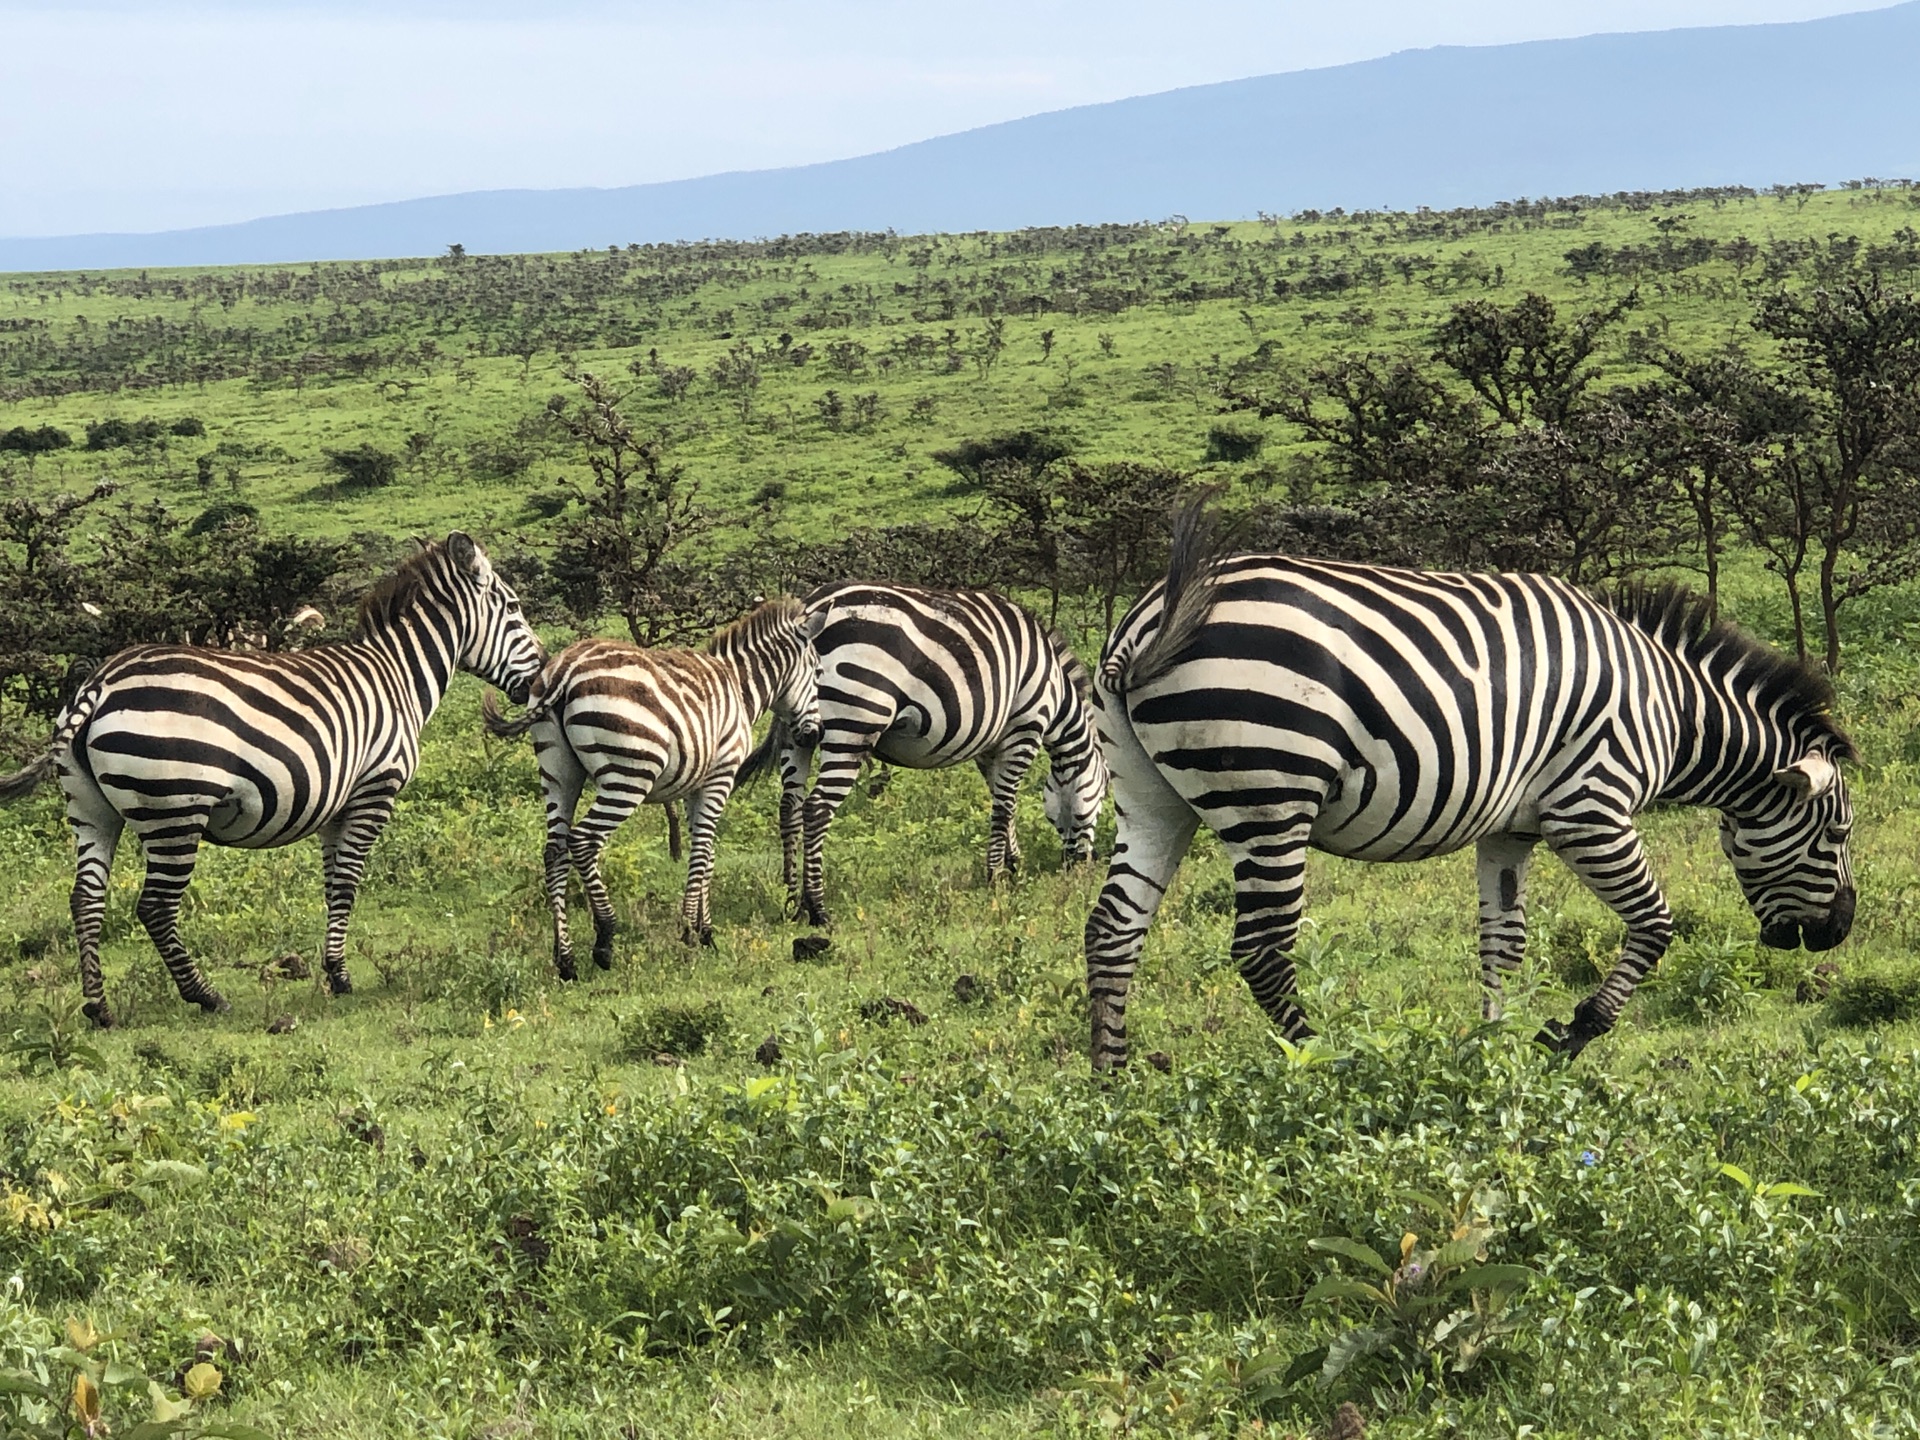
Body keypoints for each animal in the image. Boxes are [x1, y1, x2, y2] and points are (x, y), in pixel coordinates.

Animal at [0, 537, 545, 1029]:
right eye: (515, 608)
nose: (541, 678)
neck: (399, 676)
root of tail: (100, 684)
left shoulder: (337, 806)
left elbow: (333, 885)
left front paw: (332, 969)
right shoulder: (375, 788)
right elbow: (349, 883)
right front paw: (341, 977)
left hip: (90, 808)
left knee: (86, 899)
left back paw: (100, 1008)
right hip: (174, 810)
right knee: (155, 906)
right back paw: (205, 996)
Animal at [483, 599, 821, 983]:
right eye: (817, 673)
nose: (814, 735)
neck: (739, 686)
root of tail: (565, 670)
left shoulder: (695, 786)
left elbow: (706, 854)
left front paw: (705, 932)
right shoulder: (720, 775)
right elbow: (702, 852)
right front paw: (689, 932)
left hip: (558, 772)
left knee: (554, 850)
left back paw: (565, 961)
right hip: (629, 774)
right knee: (583, 841)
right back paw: (605, 939)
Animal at [771, 583, 1113, 925]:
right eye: (1103, 796)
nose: (1082, 864)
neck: (1056, 691)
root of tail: (813, 604)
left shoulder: (990, 745)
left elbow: (1003, 799)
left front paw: (1012, 862)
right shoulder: (1025, 728)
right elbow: (1004, 805)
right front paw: (996, 876)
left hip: (798, 726)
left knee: (789, 806)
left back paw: (791, 901)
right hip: (855, 720)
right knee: (816, 809)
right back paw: (817, 908)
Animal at [1098, 499, 1858, 1075]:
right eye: (1836, 833)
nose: (1837, 934)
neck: (1670, 708)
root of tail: (1155, 617)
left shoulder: (1510, 830)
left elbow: (1503, 942)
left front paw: (1494, 1050)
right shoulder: (1589, 808)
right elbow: (1655, 924)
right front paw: (1567, 1035)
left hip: (1150, 799)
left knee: (1114, 928)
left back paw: (1112, 1082)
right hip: (1271, 796)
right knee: (1260, 950)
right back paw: (1327, 1062)